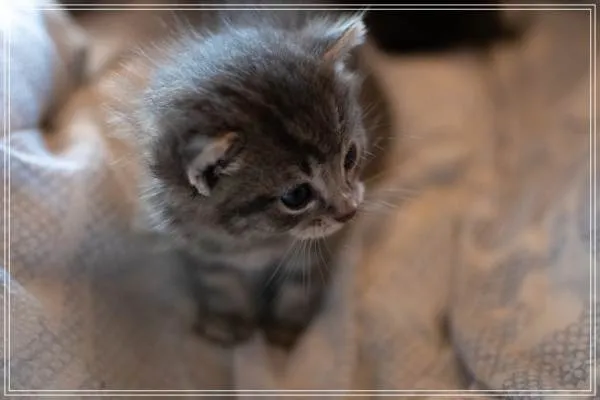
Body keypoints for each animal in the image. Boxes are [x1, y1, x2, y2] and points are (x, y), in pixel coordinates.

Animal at [115, 10, 369, 348]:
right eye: (296, 196)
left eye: (350, 157)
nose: (349, 212)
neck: (254, 239)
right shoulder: (195, 240)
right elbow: (218, 278)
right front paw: (230, 316)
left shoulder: (323, 241)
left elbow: (302, 275)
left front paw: (287, 323)